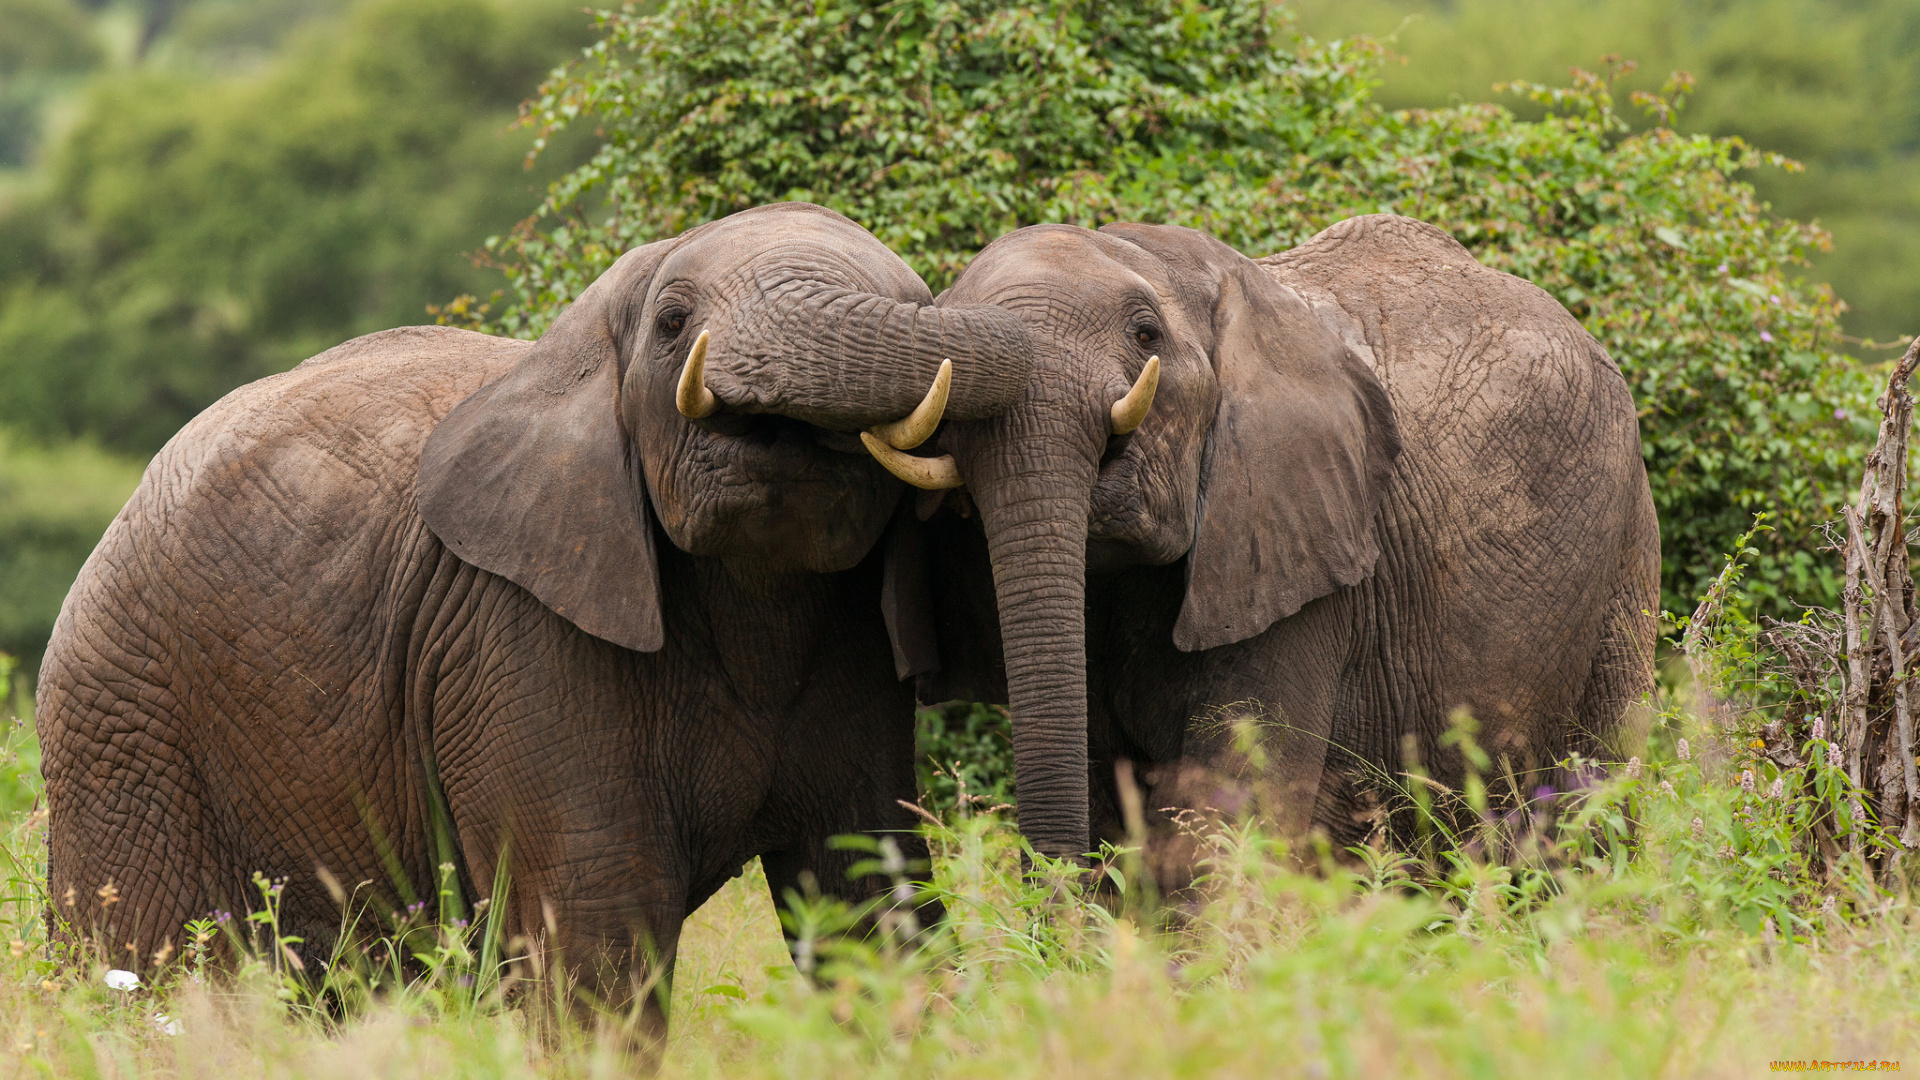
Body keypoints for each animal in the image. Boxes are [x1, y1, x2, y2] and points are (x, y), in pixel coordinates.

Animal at [33, 199, 1036, 1022]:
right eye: (673, 323)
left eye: (916, 303)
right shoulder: (515, 635)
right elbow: (596, 923)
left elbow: (867, 892)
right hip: (124, 718)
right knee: (159, 971)